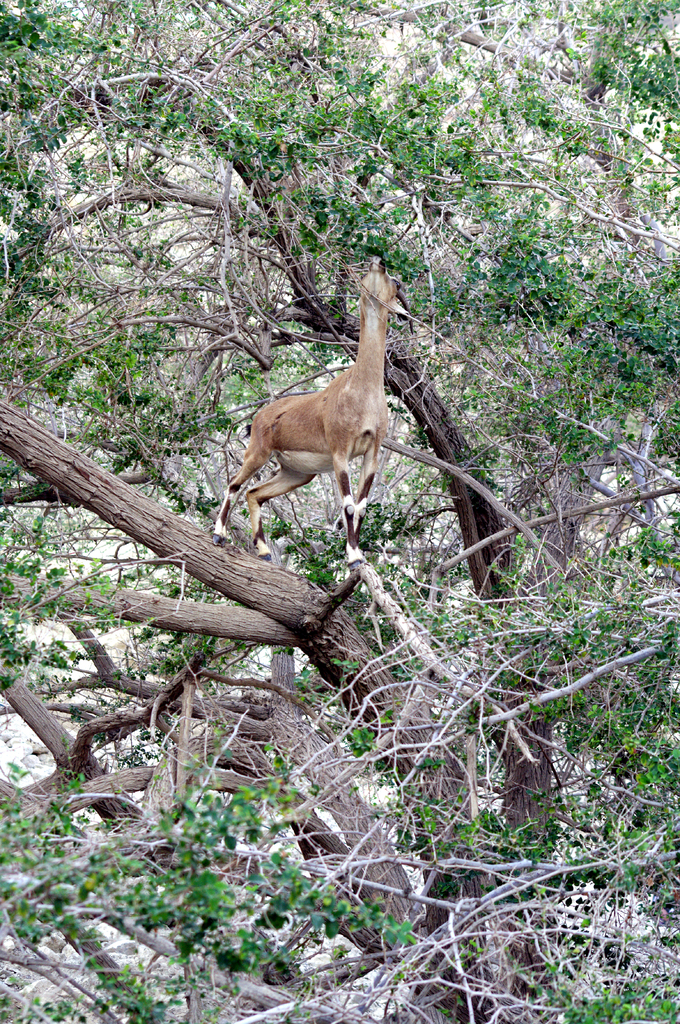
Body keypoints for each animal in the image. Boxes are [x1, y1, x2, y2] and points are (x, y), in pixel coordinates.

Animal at [212, 259, 407, 567]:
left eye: (395, 282)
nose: (378, 262)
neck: (362, 390)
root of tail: (258, 419)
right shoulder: (340, 450)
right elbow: (348, 505)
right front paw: (354, 557)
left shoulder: (372, 451)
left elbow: (362, 506)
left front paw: (358, 556)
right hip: (258, 453)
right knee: (234, 484)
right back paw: (219, 534)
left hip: (297, 473)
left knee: (255, 493)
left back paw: (264, 551)